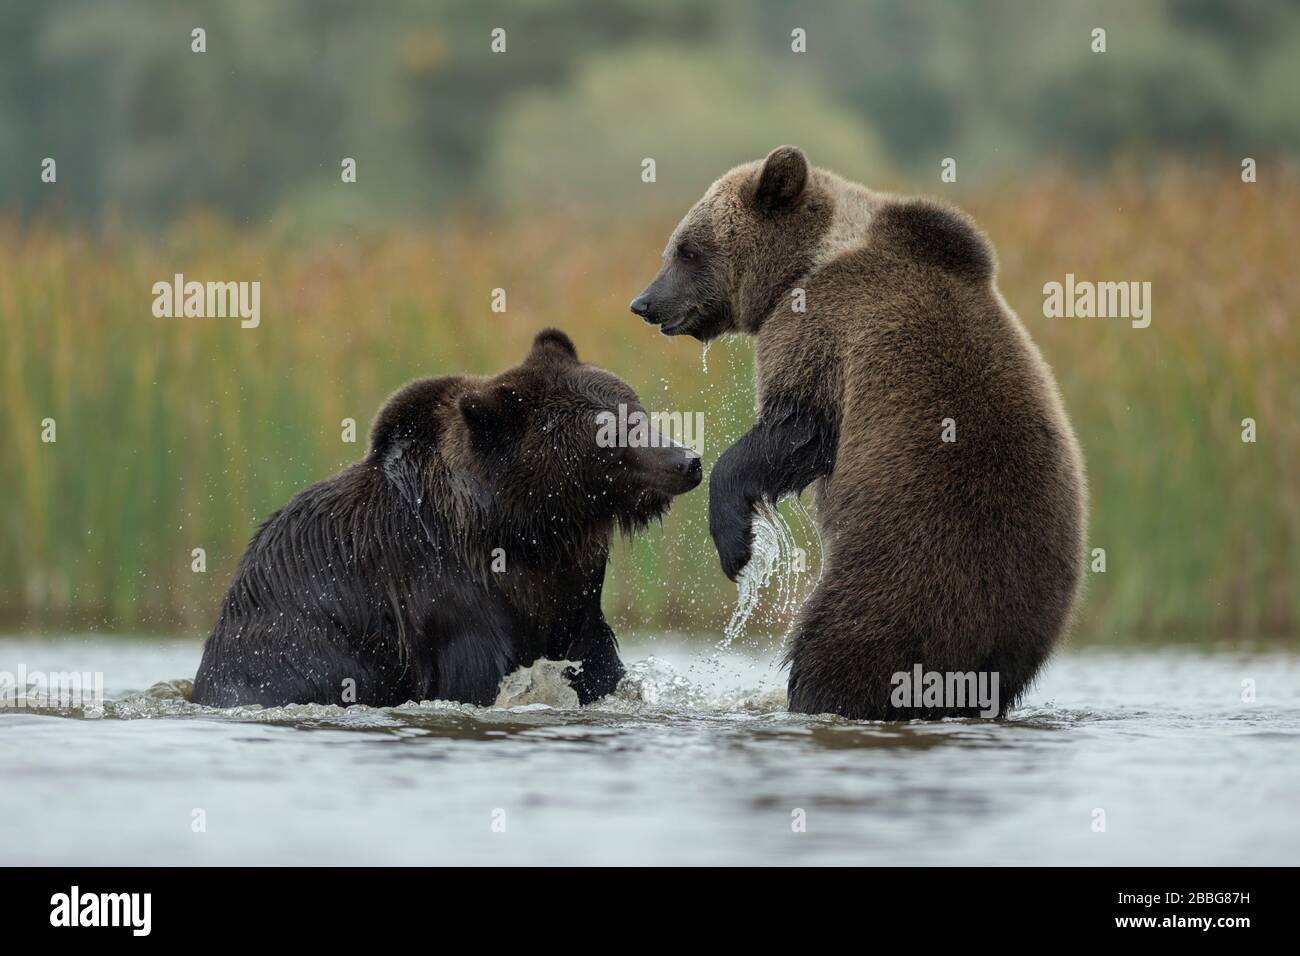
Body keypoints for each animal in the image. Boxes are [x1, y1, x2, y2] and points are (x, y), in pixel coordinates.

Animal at [189, 330, 702, 712]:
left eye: (636, 411)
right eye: (607, 433)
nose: (687, 460)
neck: (529, 529)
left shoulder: (573, 597)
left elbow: (596, 666)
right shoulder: (446, 595)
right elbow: (475, 676)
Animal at [629, 145, 1086, 723]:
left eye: (687, 250)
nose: (644, 303)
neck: (805, 263)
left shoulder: (819, 326)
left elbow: (798, 428)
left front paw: (735, 543)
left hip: (901, 573)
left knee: (842, 646)